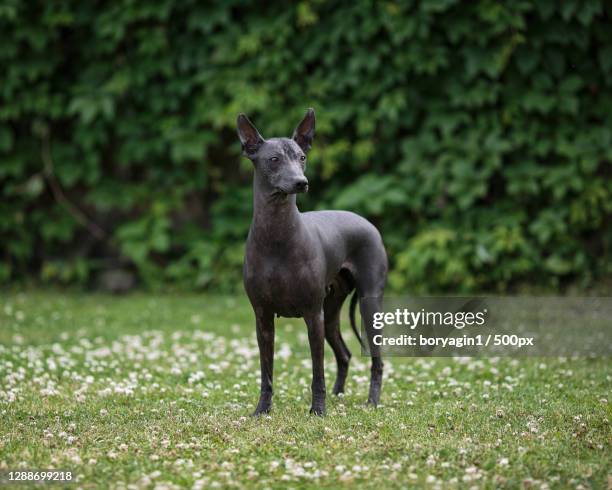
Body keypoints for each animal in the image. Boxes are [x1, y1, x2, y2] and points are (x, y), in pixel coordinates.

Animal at [235, 109, 384, 416]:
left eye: (302, 157)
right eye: (274, 159)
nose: (301, 182)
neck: (277, 234)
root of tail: (366, 221)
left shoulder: (312, 315)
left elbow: (317, 373)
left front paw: (318, 410)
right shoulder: (262, 318)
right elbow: (266, 373)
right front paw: (262, 410)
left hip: (368, 305)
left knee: (377, 361)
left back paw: (372, 401)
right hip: (332, 311)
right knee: (344, 353)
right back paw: (339, 394)